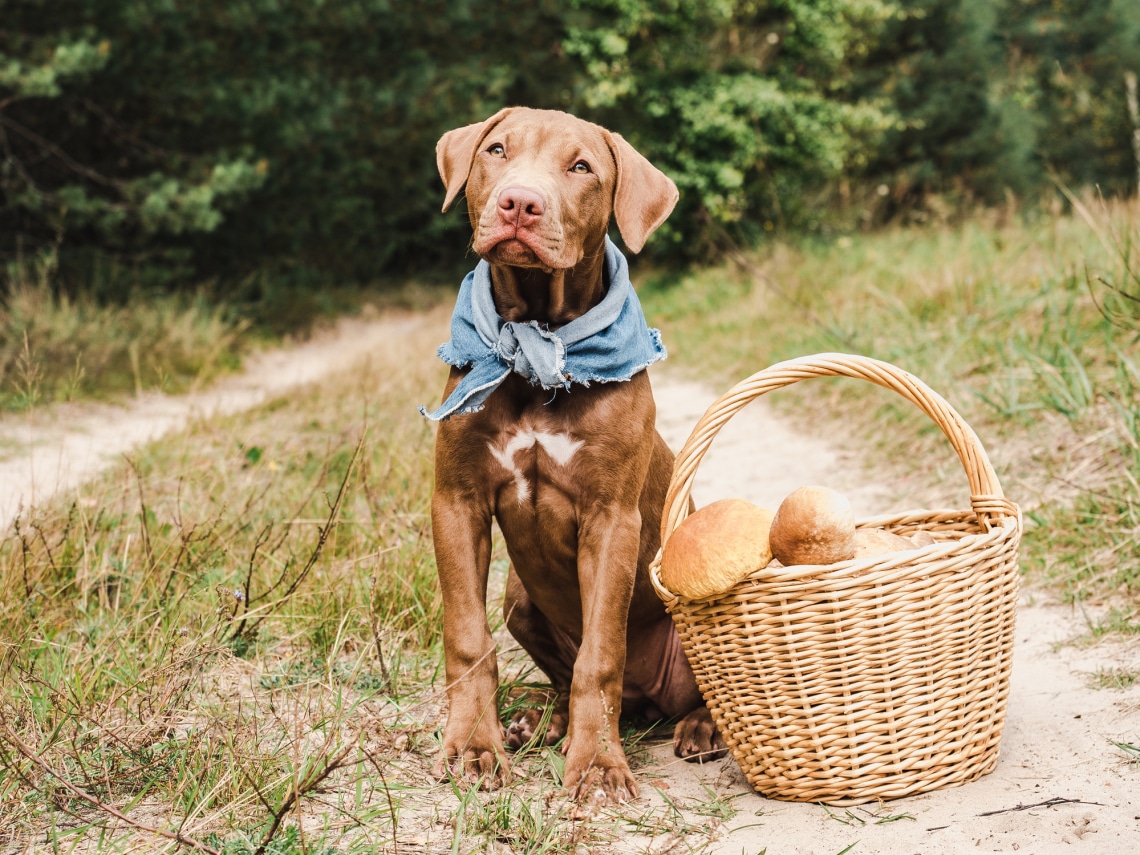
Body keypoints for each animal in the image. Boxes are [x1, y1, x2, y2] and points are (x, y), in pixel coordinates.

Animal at [428, 107, 720, 802]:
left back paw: (699, 727)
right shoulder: (456, 501)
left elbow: (600, 657)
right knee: (559, 677)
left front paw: (597, 766)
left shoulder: (611, 520)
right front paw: (473, 745)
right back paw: (541, 721)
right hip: (520, 599)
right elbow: (467, 637)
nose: (519, 203)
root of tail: (645, 705)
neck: (538, 340)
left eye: (582, 166)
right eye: (497, 150)